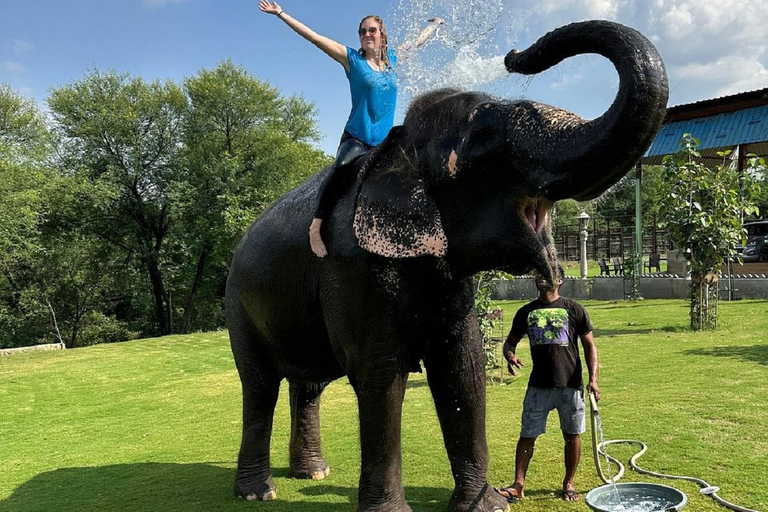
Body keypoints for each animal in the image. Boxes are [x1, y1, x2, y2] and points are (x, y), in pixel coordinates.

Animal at [225, 20, 668, 512]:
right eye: (484, 137)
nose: (514, 55)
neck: (397, 150)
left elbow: (464, 367)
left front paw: (486, 504)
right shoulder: (351, 266)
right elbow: (380, 375)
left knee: (308, 385)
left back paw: (313, 471)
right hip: (238, 303)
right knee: (259, 386)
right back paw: (258, 491)